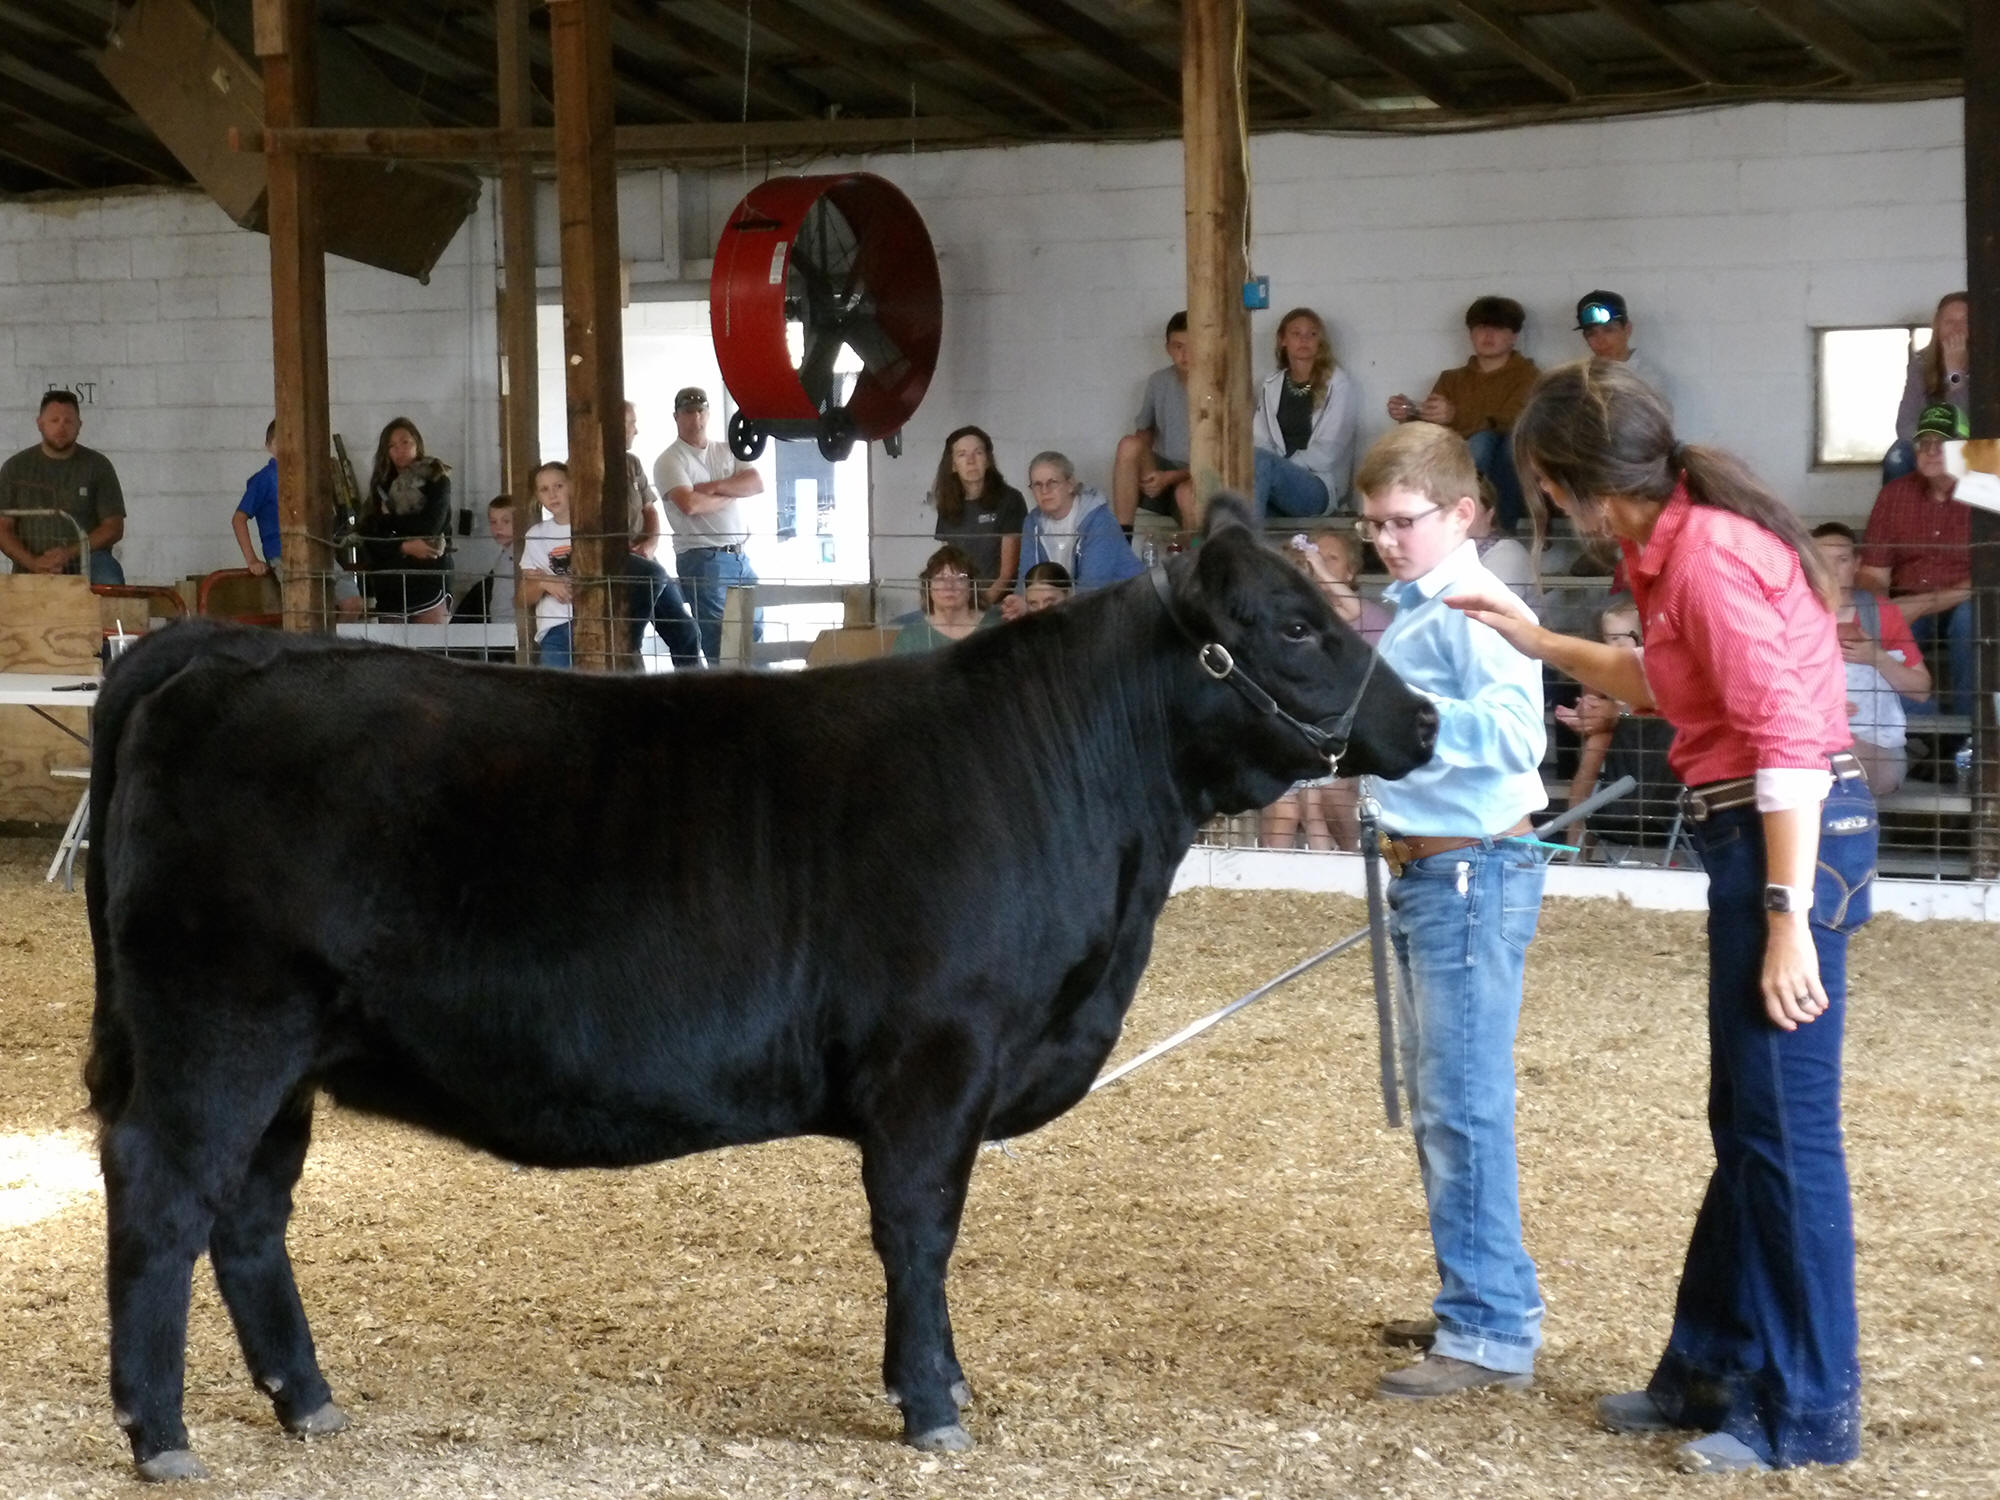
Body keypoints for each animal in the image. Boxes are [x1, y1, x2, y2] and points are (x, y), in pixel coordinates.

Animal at [83, 497, 1436, 1481]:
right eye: (1293, 626)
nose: (1422, 721)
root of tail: (230, 647)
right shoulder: (937, 1062)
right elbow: (918, 1231)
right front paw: (931, 1403)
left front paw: (934, 1387)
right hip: (218, 1030)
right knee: (162, 1192)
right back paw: (160, 1437)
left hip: (290, 1052)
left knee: (250, 1213)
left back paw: (306, 1402)